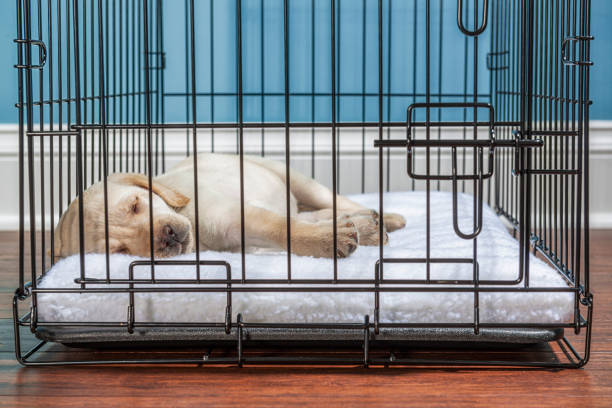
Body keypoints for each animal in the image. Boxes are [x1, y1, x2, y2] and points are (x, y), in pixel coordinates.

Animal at [53, 153, 406, 258]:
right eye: (120, 251)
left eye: (135, 205)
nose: (167, 236)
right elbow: (286, 231)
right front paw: (337, 233)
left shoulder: (241, 216)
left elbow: (284, 229)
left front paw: (327, 240)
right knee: (315, 213)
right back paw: (365, 223)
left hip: (295, 179)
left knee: (329, 202)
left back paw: (388, 217)